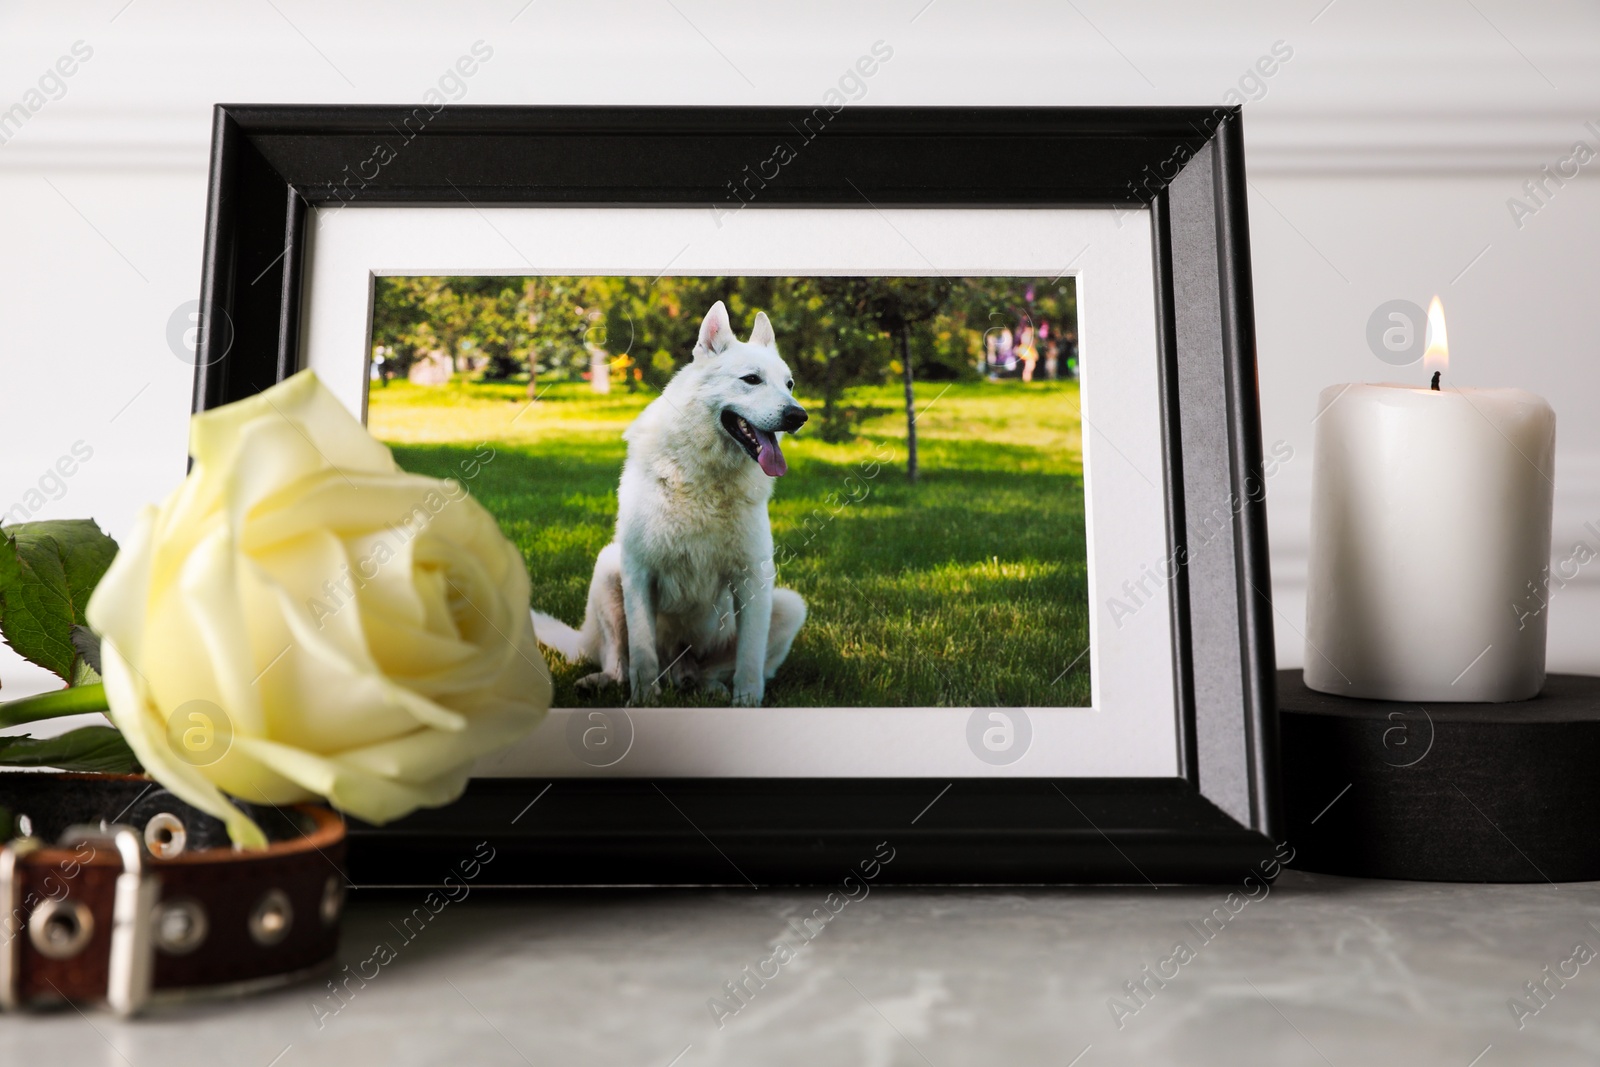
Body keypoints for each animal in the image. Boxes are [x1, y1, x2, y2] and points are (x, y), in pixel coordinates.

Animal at [534, 299, 806, 710]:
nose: (798, 416)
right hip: (609, 568)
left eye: (788, 384)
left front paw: (746, 703)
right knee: (619, 663)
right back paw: (601, 683)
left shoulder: (753, 579)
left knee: (710, 672)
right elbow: (642, 654)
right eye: (751, 380)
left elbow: (750, 659)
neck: (706, 479)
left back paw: (705, 687)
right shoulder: (639, 572)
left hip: (788, 604)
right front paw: (645, 701)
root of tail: (678, 667)